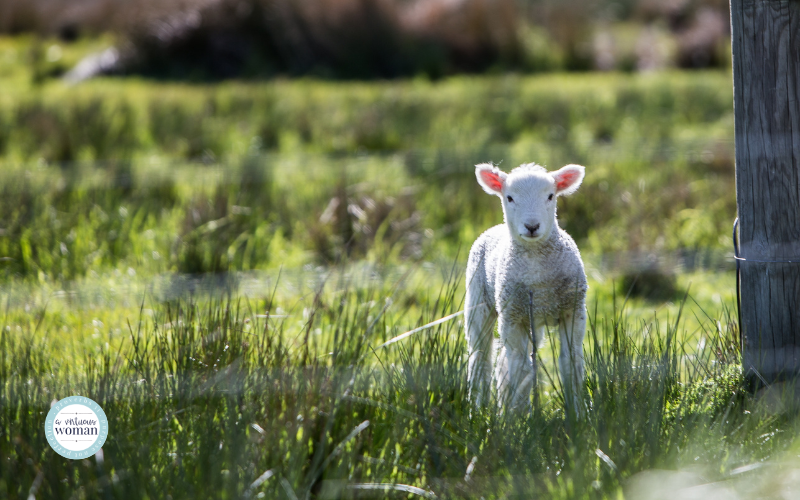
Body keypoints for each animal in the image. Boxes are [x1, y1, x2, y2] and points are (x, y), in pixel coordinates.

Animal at [465, 162, 588, 413]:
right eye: (509, 197)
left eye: (550, 196)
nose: (532, 226)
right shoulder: (512, 317)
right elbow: (520, 369)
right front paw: (520, 416)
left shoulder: (573, 310)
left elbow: (571, 363)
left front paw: (577, 413)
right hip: (478, 301)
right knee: (481, 357)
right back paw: (478, 408)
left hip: (533, 320)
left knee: (505, 359)